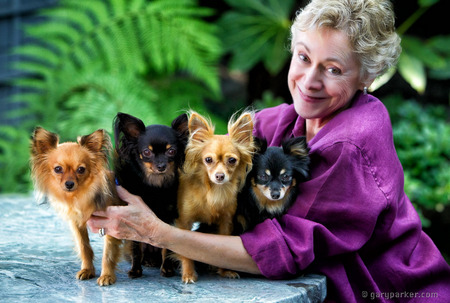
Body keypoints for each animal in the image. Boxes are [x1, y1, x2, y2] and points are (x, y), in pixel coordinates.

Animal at [30, 127, 125, 286]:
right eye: (58, 169)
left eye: (81, 169)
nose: (69, 184)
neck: (79, 196)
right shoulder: (76, 223)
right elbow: (84, 246)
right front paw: (87, 270)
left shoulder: (112, 224)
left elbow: (108, 252)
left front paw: (106, 275)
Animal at [114, 113, 190, 280]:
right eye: (147, 152)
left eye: (171, 151)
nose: (161, 166)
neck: (155, 184)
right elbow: (136, 249)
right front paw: (135, 270)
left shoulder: (169, 218)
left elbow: (167, 248)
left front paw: (167, 268)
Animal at [174, 111, 255, 284]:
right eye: (208, 160)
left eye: (232, 160)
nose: (219, 176)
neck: (214, 191)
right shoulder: (184, 222)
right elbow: (185, 250)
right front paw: (188, 274)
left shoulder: (226, 222)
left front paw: (225, 271)